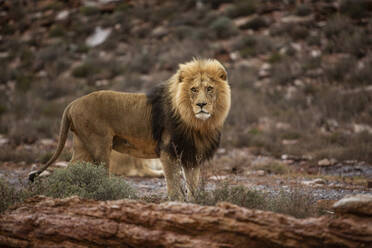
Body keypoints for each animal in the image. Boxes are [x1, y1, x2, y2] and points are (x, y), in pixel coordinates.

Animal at [29, 58, 230, 202]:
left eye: (209, 88)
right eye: (194, 89)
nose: (201, 105)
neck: (197, 123)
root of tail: (72, 103)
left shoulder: (191, 154)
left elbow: (193, 185)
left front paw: (196, 202)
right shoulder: (168, 151)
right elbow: (173, 183)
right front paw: (177, 202)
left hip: (83, 147)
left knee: (71, 170)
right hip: (99, 147)